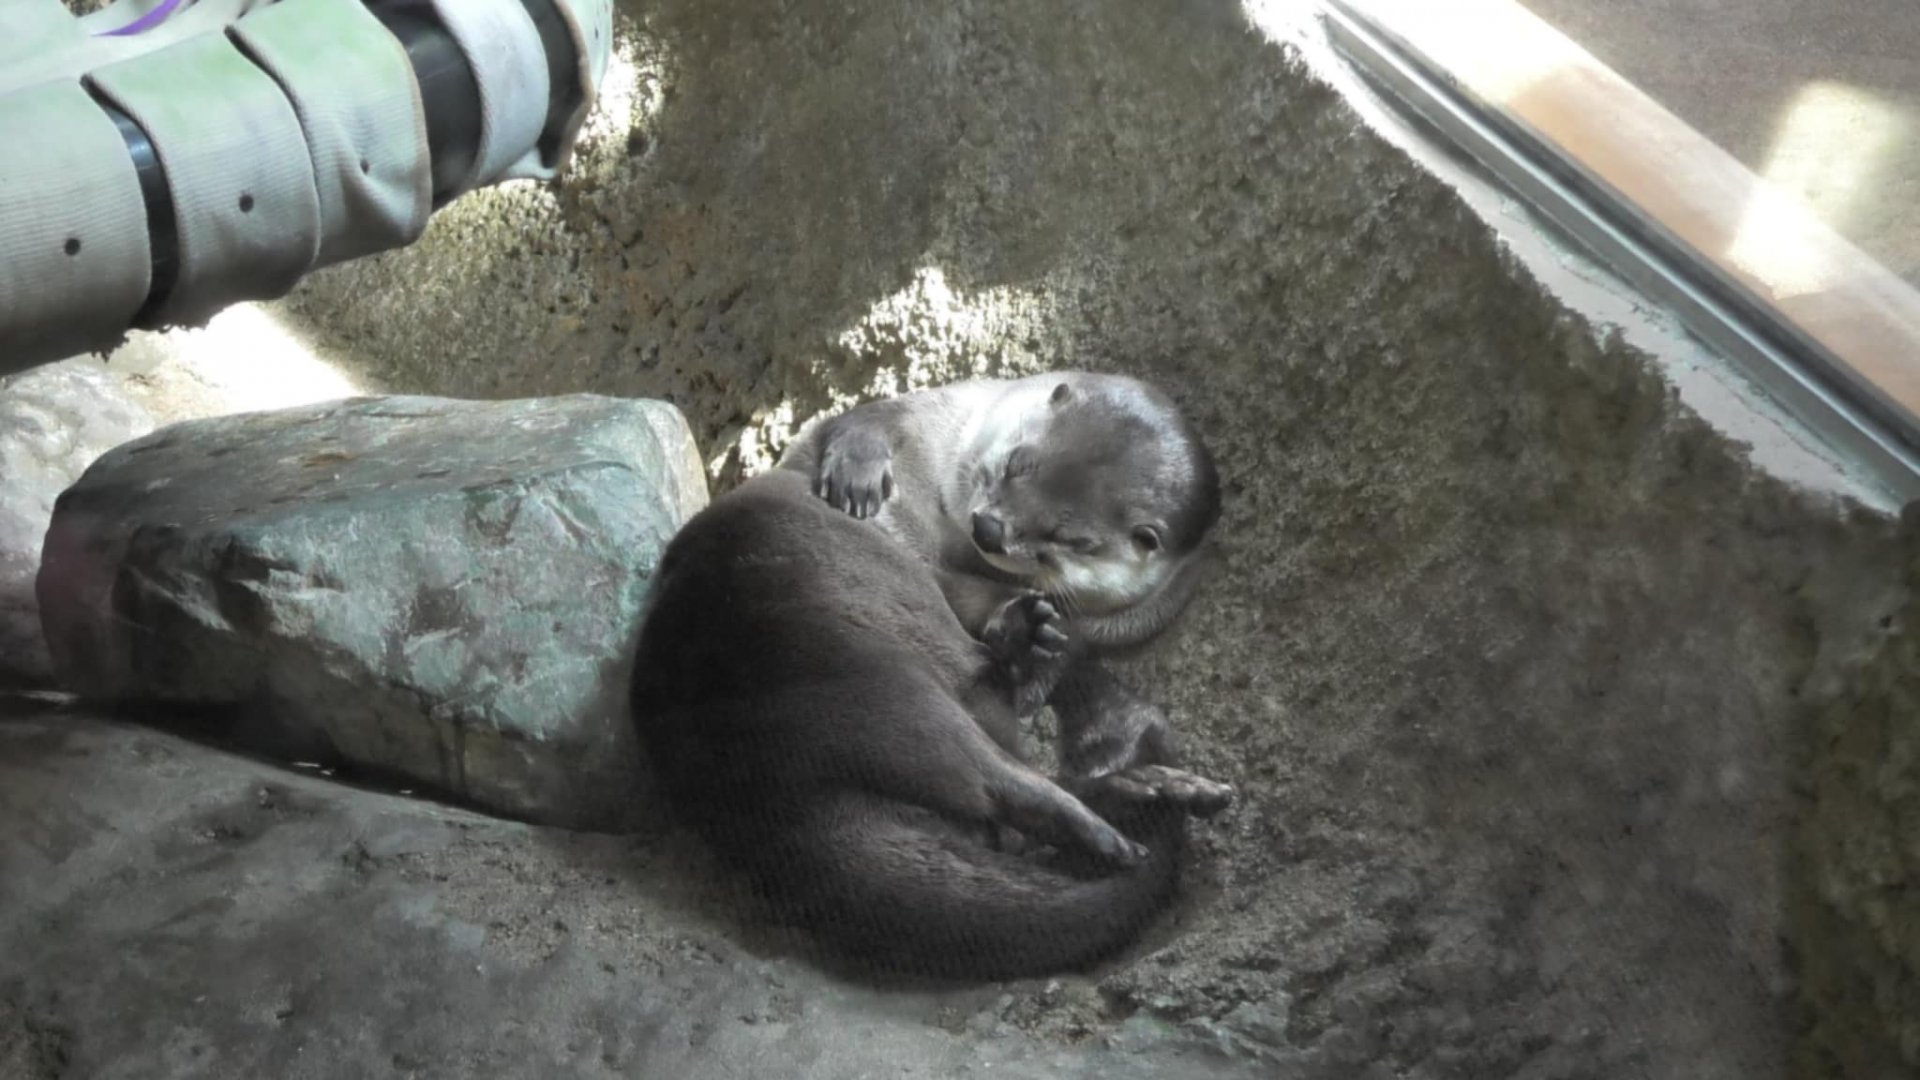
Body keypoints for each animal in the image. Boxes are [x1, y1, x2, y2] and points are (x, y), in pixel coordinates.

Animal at [778, 372, 1220, 779]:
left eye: (1071, 538)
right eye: (1017, 464)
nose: (989, 530)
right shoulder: (942, 411)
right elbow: (871, 416)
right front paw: (857, 473)